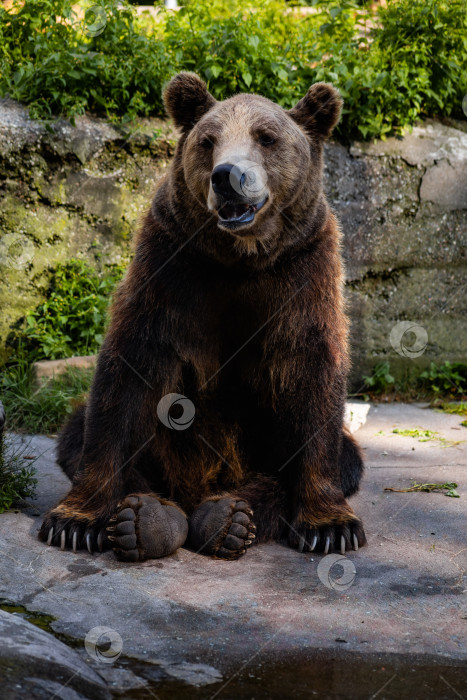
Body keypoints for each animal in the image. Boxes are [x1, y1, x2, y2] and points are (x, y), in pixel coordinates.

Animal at [38, 71, 368, 564]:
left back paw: (226, 517)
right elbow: (125, 377)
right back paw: (150, 517)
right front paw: (74, 521)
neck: (240, 259)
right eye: (209, 140)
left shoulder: (302, 272)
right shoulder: (171, 265)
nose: (228, 176)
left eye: (266, 137)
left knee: (344, 457)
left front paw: (331, 526)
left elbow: (312, 374)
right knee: (75, 435)